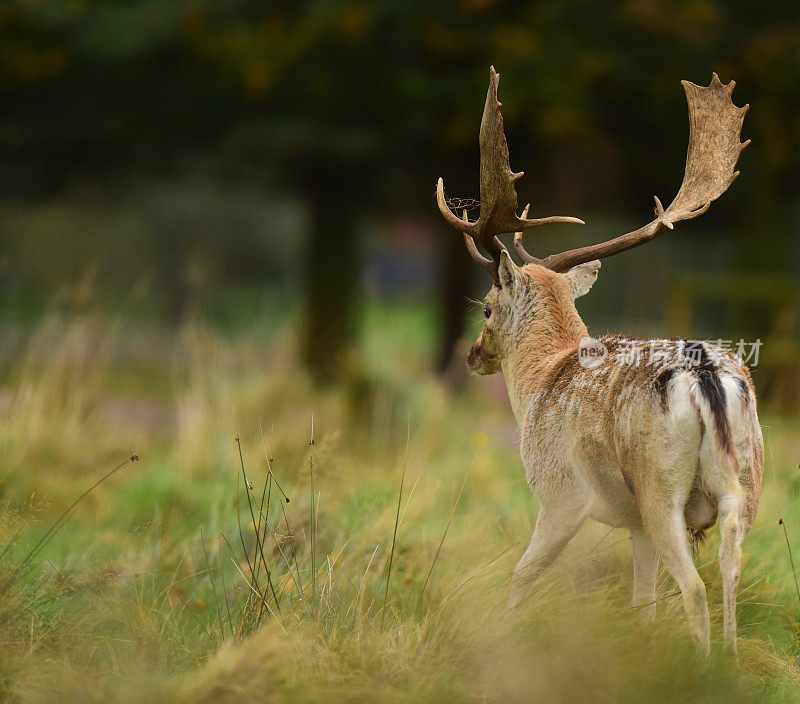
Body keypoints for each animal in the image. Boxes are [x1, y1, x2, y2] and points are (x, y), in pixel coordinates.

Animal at [438, 66, 764, 656]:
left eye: (488, 306)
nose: (474, 355)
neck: (541, 381)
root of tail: (706, 376)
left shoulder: (558, 492)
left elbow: (521, 576)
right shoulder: (633, 525)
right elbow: (642, 603)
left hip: (659, 487)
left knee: (695, 588)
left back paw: (703, 666)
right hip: (745, 481)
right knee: (731, 570)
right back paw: (728, 659)